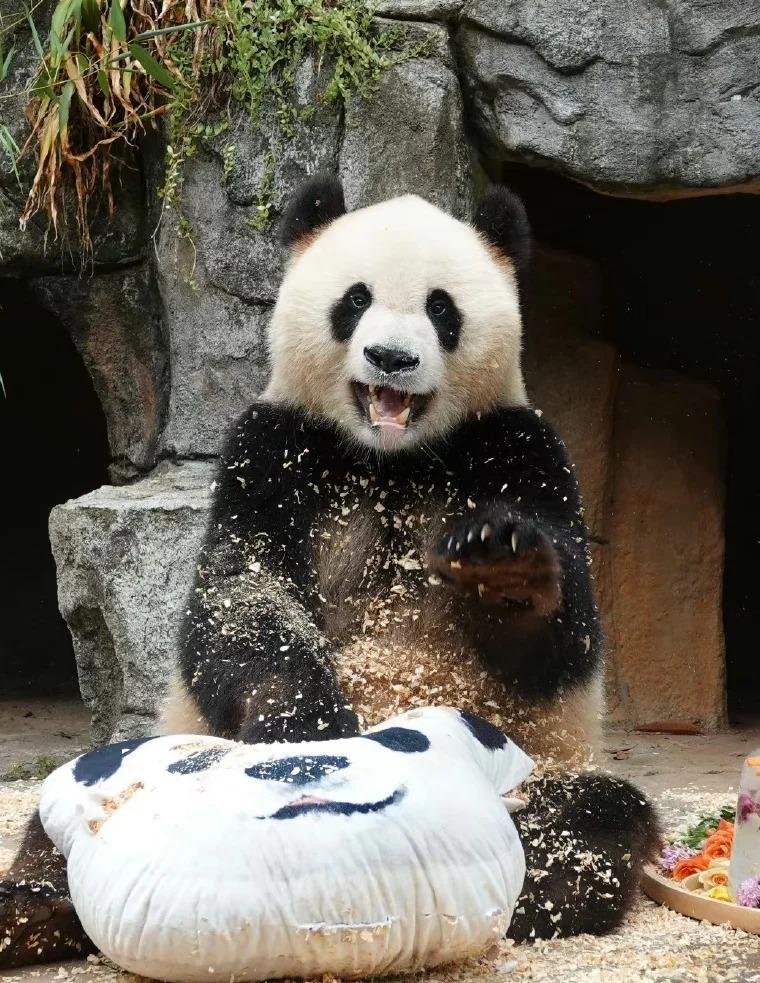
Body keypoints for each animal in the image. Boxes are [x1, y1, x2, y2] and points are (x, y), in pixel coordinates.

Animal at [0, 178, 658, 969]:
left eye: (442, 308)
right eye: (355, 299)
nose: (391, 358)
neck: (390, 457)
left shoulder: (519, 446)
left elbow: (567, 640)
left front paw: (502, 565)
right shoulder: (274, 450)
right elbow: (241, 594)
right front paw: (307, 725)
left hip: (547, 767)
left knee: (595, 817)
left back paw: (526, 888)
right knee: (57, 821)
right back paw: (31, 910)